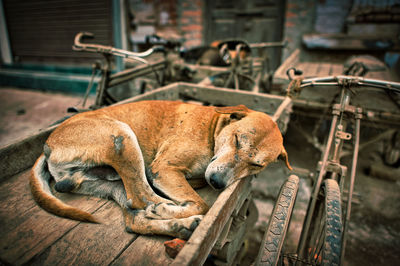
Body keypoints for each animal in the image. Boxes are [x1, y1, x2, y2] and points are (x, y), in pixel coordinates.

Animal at [29, 100, 290, 239]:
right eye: (237, 139)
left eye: (256, 165)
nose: (217, 182)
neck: (213, 129)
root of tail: (47, 144)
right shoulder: (164, 169)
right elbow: (201, 204)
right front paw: (171, 209)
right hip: (122, 136)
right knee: (143, 197)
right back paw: (167, 213)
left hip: (110, 182)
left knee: (134, 214)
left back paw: (179, 225)